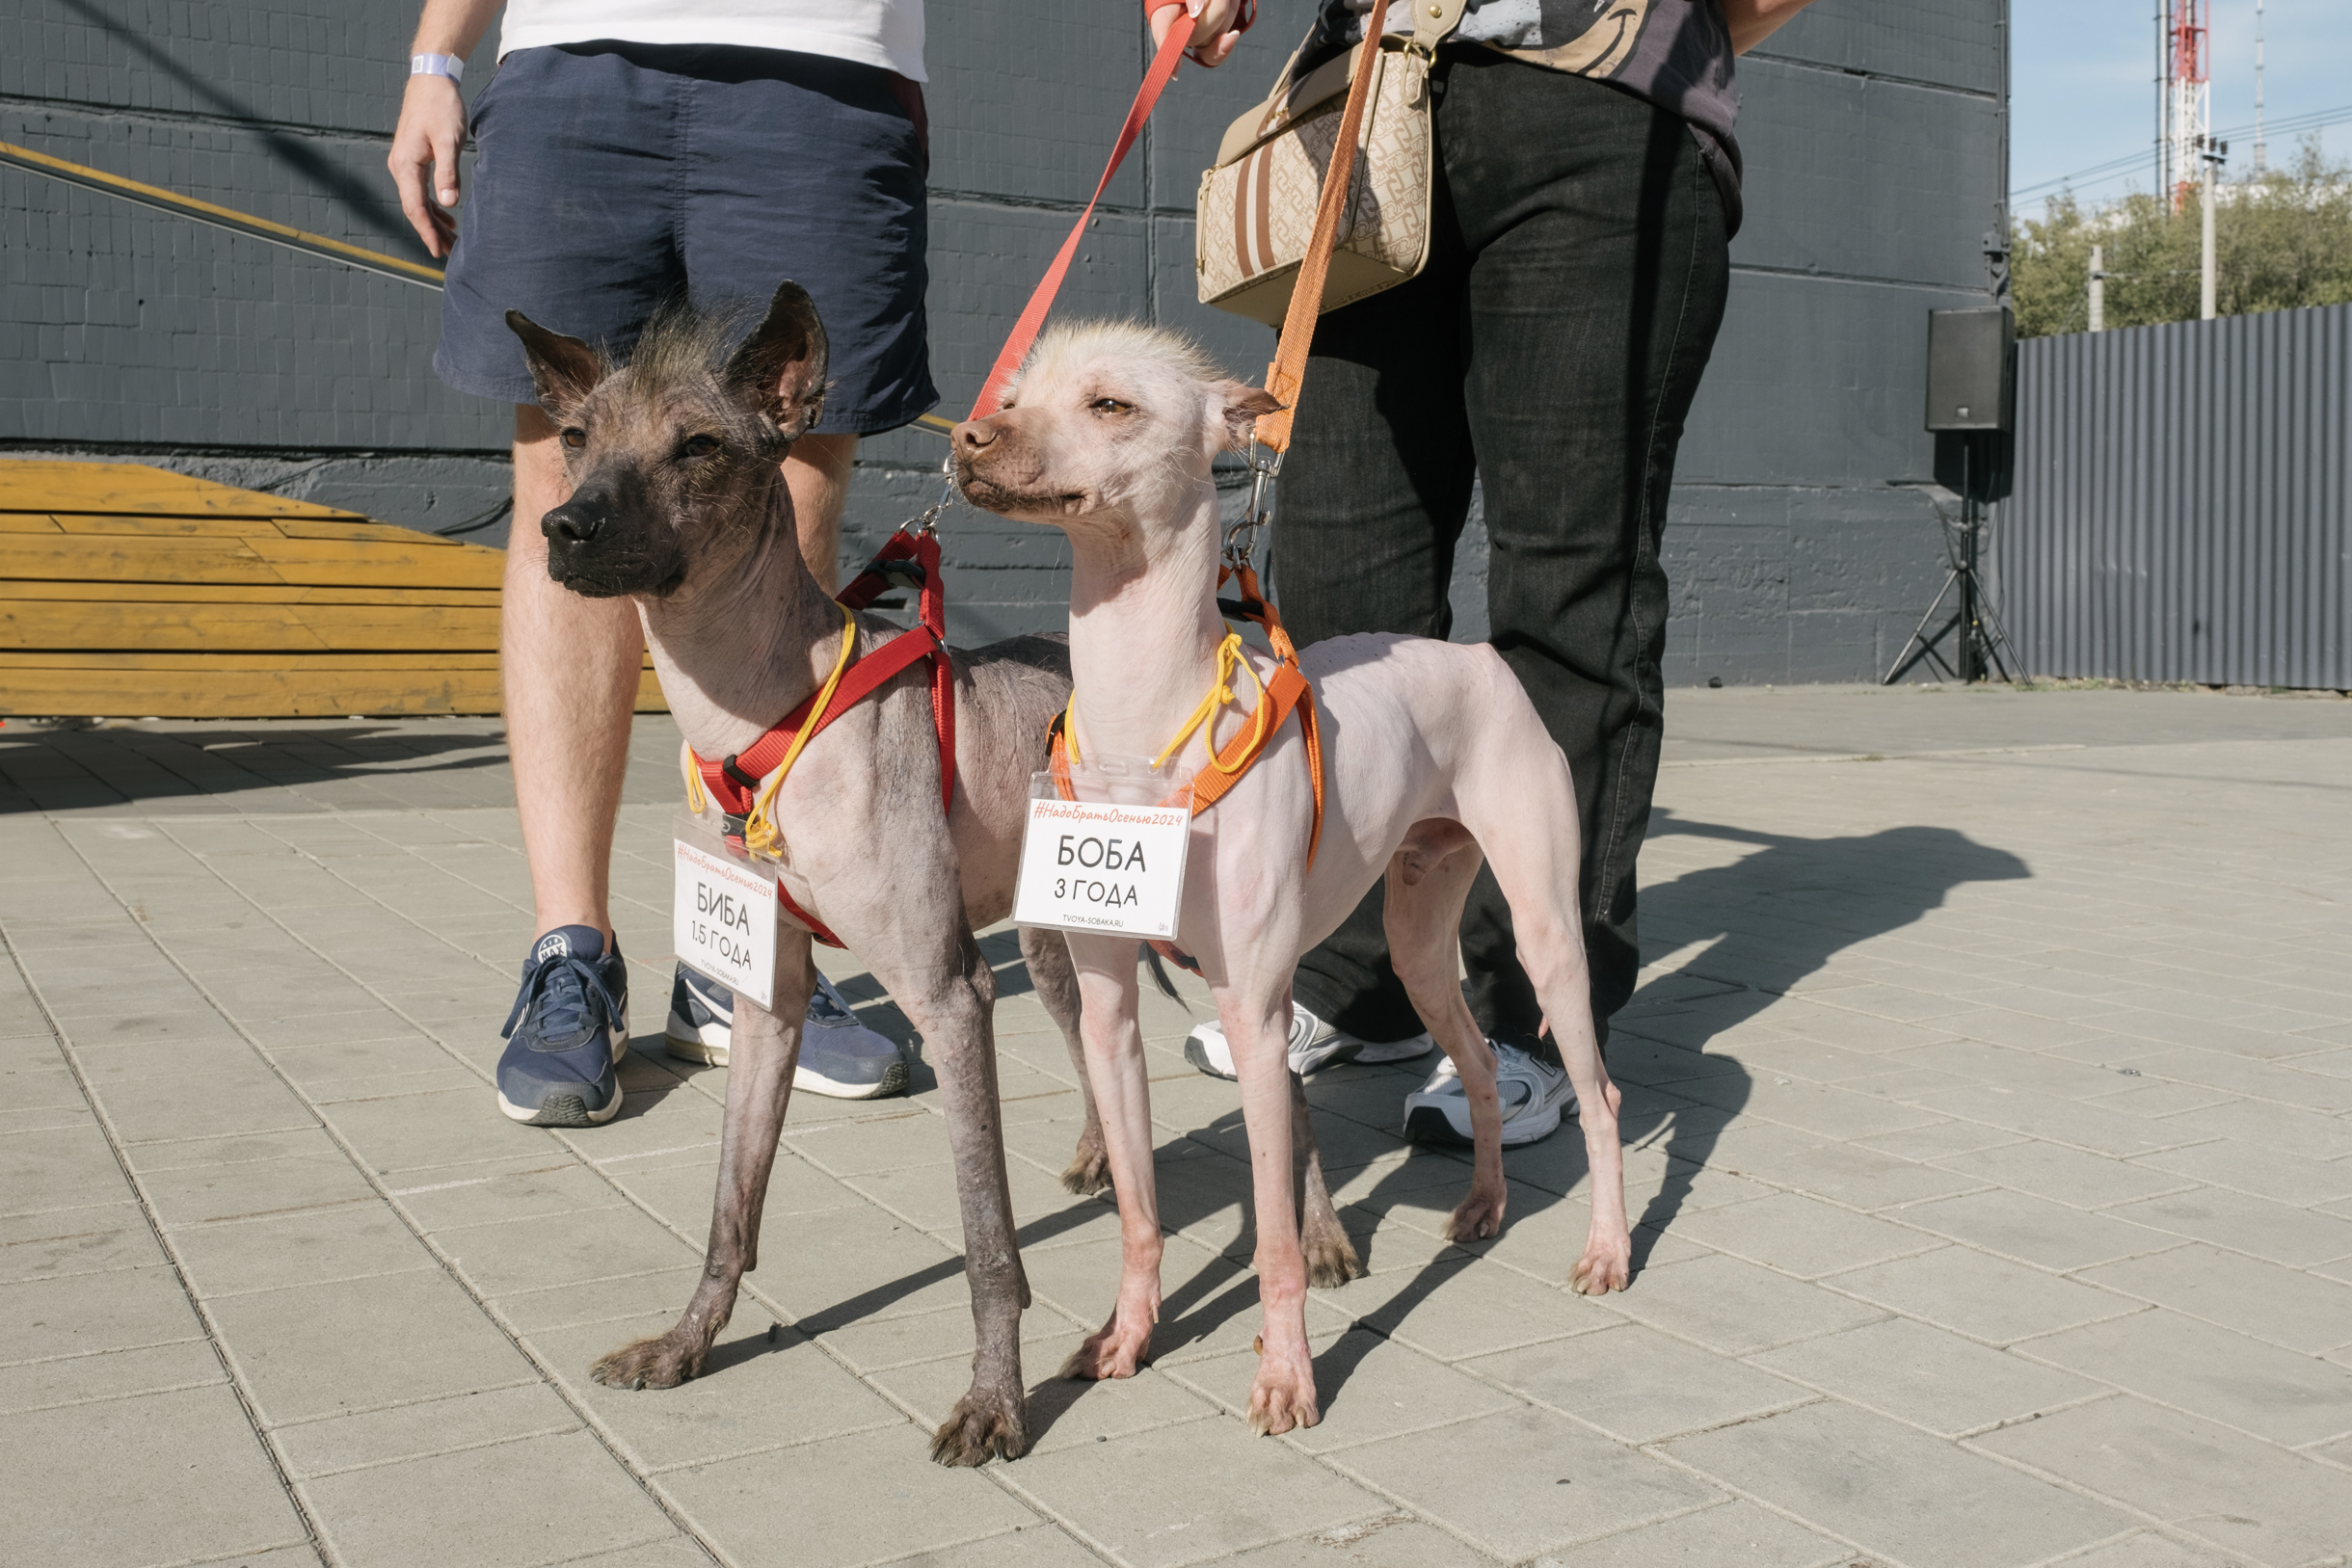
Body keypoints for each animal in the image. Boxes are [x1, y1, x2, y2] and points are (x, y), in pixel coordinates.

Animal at [945, 322, 1627, 1438]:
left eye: (1110, 404)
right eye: (1013, 397)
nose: (966, 435)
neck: (1144, 733)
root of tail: (1475, 653)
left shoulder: (1257, 1021)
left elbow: (1272, 1240)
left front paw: (1287, 1377)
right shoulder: (1107, 1009)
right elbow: (1138, 1213)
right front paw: (1126, 1337)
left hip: (1546, 931)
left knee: (1601, 1092)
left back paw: (1607, 1247)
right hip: (1418, 943)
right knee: (1480, 1066)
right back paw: (1485, 1203)